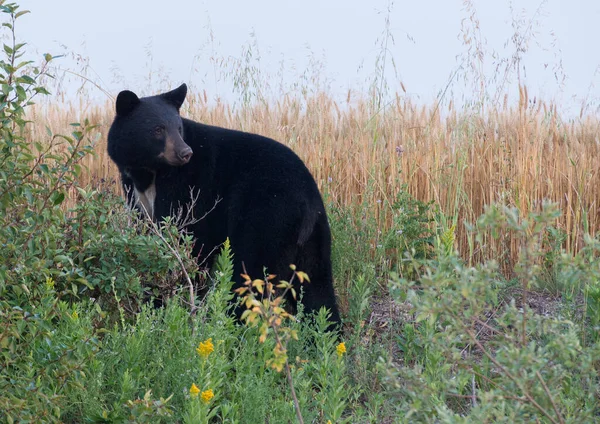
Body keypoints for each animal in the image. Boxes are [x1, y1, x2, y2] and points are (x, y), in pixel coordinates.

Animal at [106, 83, 342, 328]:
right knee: (318, 287)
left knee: (252, 272)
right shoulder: (135, 193)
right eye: (158, 129)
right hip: (314, 237)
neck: (149, 173)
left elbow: (188, 241)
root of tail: (307, 200)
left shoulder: (189, 189)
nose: (185, 153)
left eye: (178, 128)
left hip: (267, 221)